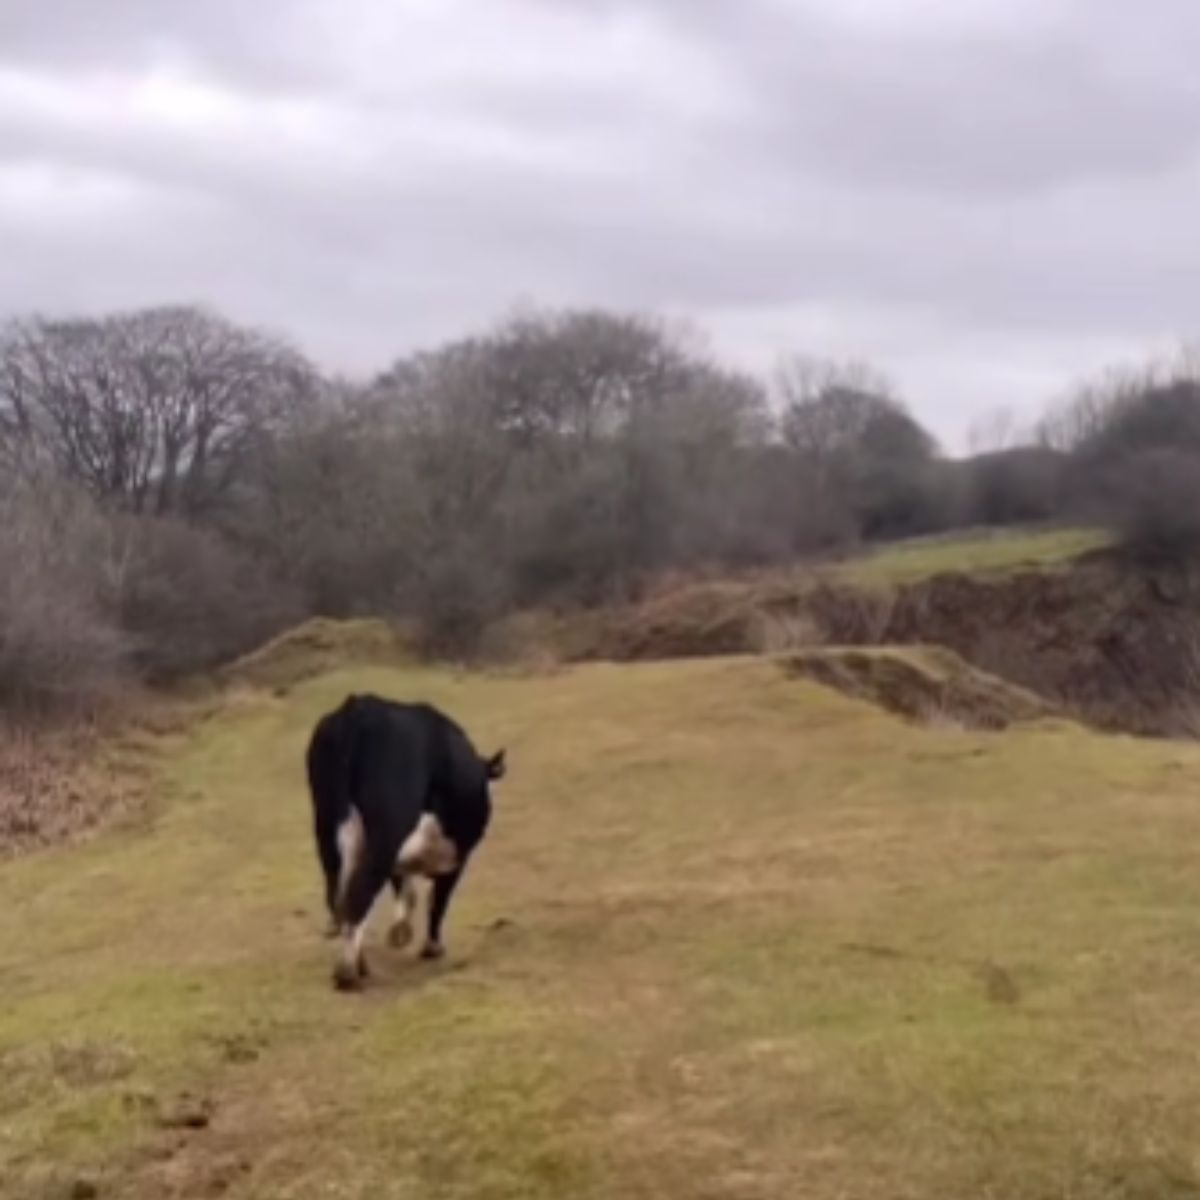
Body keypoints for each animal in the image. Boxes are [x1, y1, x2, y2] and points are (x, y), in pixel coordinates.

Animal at [304, 691, 506, 988]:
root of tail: (359, 710)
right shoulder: (456, 856)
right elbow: (437, 900)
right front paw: (430, 946)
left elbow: (407, 890)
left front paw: (401, 931)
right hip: (386, 829)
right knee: (360, 891)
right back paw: (347, 972)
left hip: (329, 827)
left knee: (339, 894)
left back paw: (359, 963)